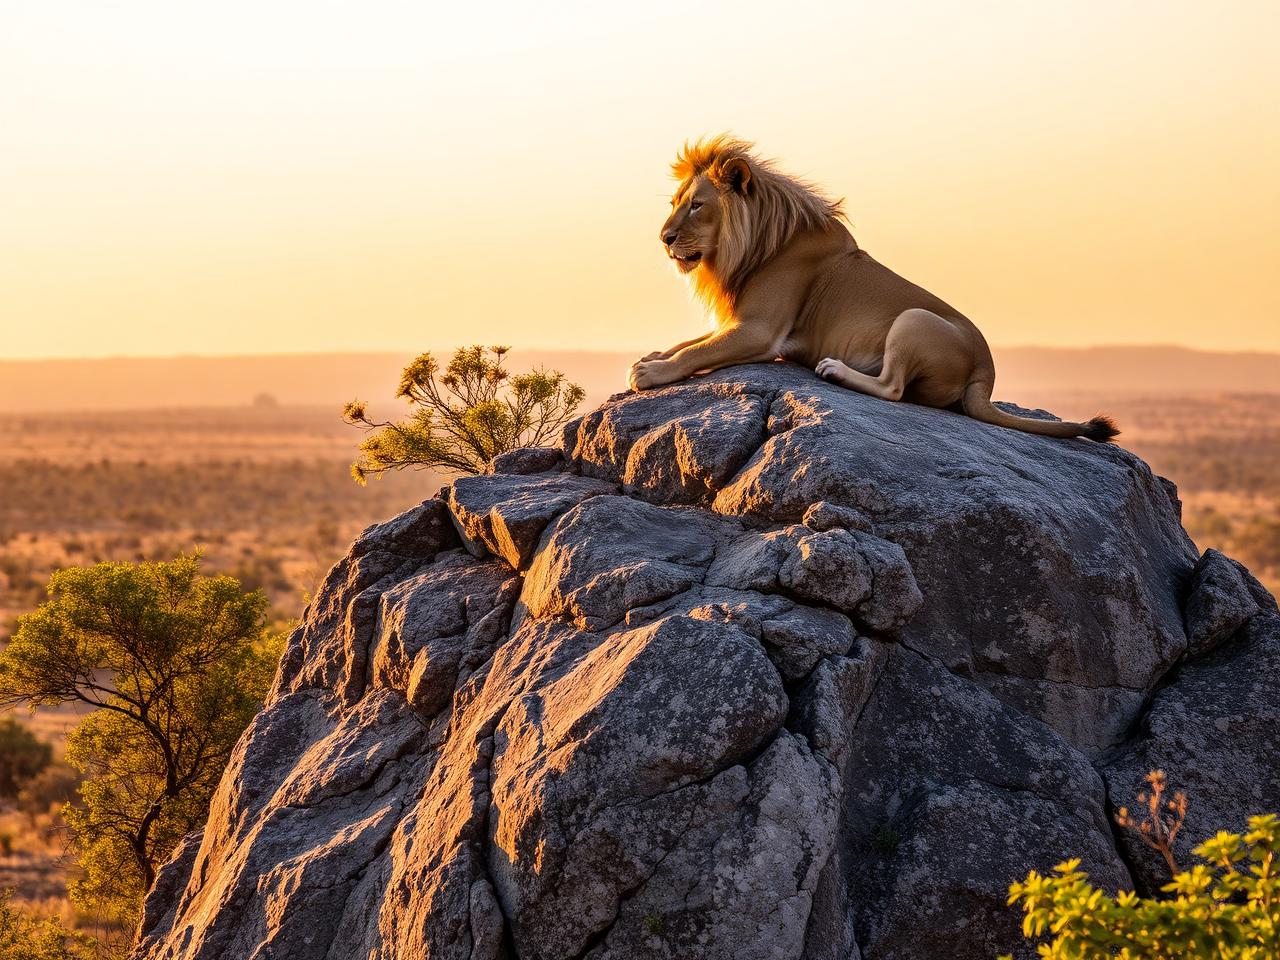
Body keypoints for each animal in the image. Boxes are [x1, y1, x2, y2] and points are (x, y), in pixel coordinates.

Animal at [629, 135, 1118, 442]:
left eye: (697, 206)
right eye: (675, 203)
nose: (663, 238)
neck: (756, 244)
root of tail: (986, 369)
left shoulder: (762, 331)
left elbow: (698, 351)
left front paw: (650, 373)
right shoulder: (739, 322)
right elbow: (692, 341)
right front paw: (652, 356)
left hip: (913, 319)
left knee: (894, 388)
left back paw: (835, 370)